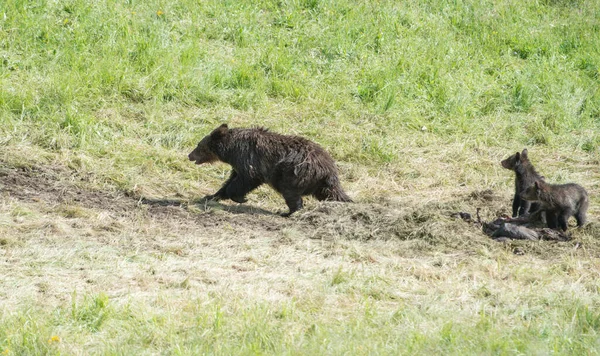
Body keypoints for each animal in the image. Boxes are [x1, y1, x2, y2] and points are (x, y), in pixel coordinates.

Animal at [189, 124, 352, 216]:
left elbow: (247, 179)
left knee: (290, 193)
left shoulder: (249, 159)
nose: (189, 155)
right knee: (330, 193)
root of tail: (329, 168)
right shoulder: (238, 165)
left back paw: (288, 213)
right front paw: (210, 196)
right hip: (318, 183)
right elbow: (231, 181)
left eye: (199, 145)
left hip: (292, 173)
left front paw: (240, 198)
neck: (231, 150)